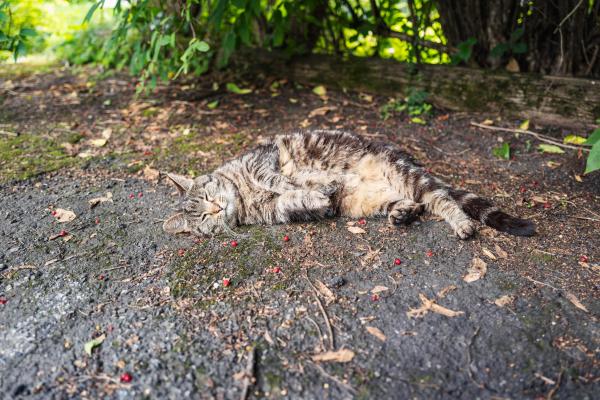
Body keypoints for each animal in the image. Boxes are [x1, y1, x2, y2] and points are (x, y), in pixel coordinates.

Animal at [163, 130, 536, 239]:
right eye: (203, 219)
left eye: (208, 196)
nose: (215, 208)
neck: (242, 196)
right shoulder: (277, 211)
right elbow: (293, 199)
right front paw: (315, 196)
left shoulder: (265, 163)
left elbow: (285, 182)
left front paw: (315, 187)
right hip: (365, 201)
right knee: (413, 204)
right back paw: (402, 213)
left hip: (409, 176)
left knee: (444, 200)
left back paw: (462, 224)